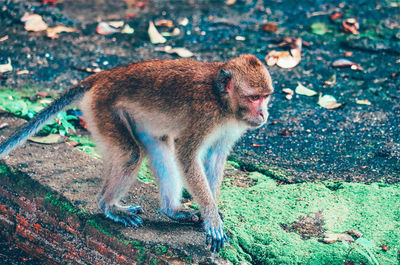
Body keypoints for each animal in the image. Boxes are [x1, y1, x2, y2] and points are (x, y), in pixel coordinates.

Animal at [0, 54, 274, 252]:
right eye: (254, 97)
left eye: (266, 97)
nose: (264, 114)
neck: (221, 100)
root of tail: (104, 75)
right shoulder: (204, 114)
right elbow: (187, 155)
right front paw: (212, 218)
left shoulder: (230, 125)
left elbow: (214, 157)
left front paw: (211, 213)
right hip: (103, 109)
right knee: (131, 153)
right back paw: (109, 205)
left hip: (137, 120)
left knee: (159, 146)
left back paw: (172, 211)